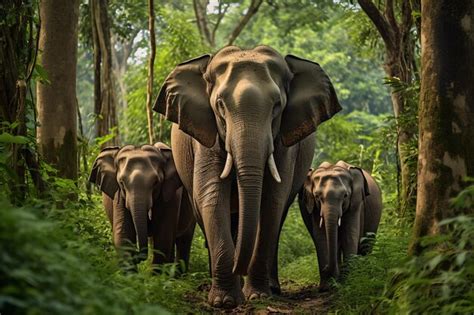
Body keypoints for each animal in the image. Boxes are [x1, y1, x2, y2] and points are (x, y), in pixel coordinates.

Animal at [90, 143, 195, 272]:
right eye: (122, 182)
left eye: (155, 182)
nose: (137, 254)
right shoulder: (118, 195)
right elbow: (124, 235)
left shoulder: (171, 196)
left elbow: (163, 237)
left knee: (184, 240)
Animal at [156, 45, 340, 308]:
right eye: (220, 105)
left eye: (277, 105)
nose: (237, 266)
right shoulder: (206, 134)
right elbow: (212, 195)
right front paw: (224, 301)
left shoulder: (284, 141)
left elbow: (272, 201)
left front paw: (258, 296)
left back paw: (272, 288)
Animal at [300, 160, 382, 292]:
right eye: (317, 196)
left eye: (345, 196)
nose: (326, 268)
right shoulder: (313, 207)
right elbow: (321, 237)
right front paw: (327, 287)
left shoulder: (356, 202)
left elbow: (350, 234)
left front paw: (349, 283)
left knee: (366, 245)